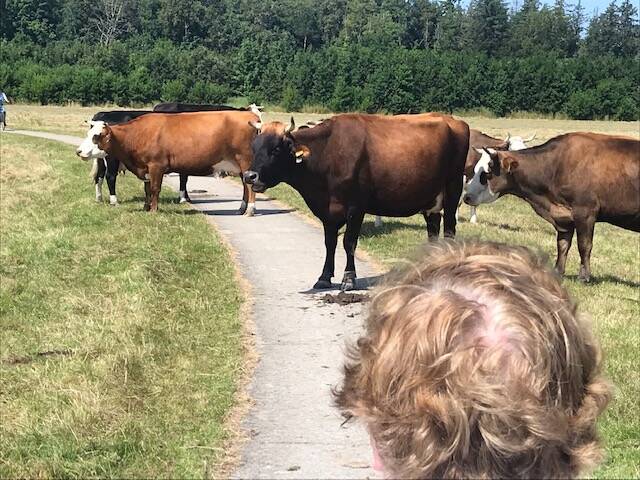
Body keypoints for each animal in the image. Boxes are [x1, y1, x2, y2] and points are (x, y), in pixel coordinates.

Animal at [76, 110, 261, 214]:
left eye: (96, 136)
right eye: (89, 133)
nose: (78, 151)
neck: (138, 134)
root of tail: (250, 116)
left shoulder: (156, 166)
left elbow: (155, 189)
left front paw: (154, 210)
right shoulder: (147, 168)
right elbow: (147, 189)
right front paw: (146, 207)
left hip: (245, 160)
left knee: (249, 185)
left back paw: (250, 210)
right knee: (245, 186)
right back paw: (241, 208)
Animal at [243, 113, 470, 291]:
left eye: (276, 149)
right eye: (254, 147)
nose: (249, 176)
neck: (327, 153)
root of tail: (454, 121)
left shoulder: (355, 207)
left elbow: (349, 242)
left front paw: (349, 278)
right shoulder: (328, 210)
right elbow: (330, 243)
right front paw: (324, 277)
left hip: (452, 190)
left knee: (449, 228)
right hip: (430, 199)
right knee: (433, 228)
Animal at [463, 132, 640, 282]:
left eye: (486, 173)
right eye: (475, 169)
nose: (466, 197)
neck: (556, 166)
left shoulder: (585, 213)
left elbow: (584, 246)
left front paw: (584, 276)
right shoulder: (564, 217)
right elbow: (563, 245)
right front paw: (558, 271)